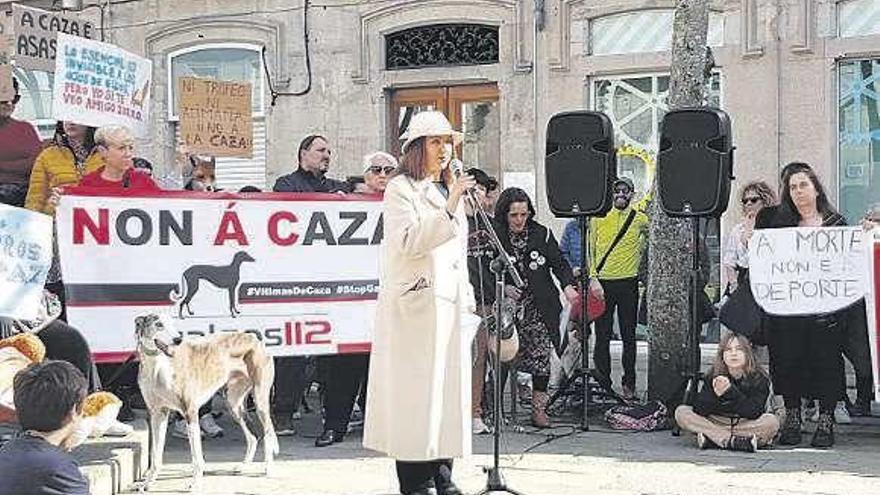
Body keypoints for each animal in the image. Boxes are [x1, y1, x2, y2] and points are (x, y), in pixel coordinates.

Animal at [135, 314, 276, 492]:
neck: (158, 366)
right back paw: (243, 466)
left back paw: (268, 468)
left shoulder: (190, 412)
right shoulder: (158, 414)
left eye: (172, 323)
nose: (178, 340)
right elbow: (156, 456)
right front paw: (148, 483)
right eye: (159, 324)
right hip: (234, 403)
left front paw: (195, 484)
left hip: (260, 400)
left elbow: (197, 458)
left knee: (268, 431)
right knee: (253, 436)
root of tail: (254, 338)